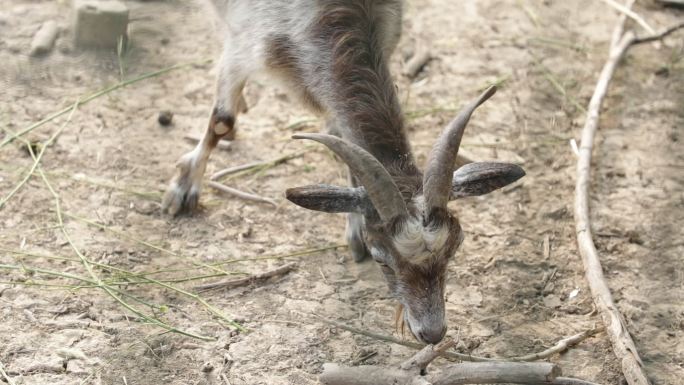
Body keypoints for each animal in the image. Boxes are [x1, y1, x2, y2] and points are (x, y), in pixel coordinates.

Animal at [163, 0, 528, 342]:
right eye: (381, 258)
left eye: (456, 247)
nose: (432, 333)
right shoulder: (243, 47)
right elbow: (221, 121)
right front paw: (183, 189)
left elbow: (341, 134)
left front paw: (353, 229)